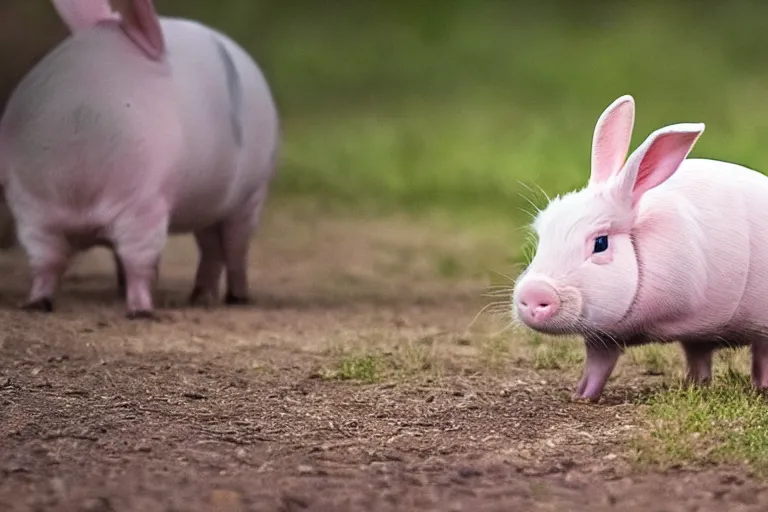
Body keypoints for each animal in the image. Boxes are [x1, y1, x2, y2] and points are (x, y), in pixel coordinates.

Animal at [0, 0, 280, 318]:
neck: (79, 198)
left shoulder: (145, 205)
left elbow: (138, 262)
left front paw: (141, 312)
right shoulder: (32, 214)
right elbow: (45, 264)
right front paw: (35, 304)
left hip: (253, 193)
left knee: (236, 246)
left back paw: (237, 298)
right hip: (209, 205)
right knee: (211, 247)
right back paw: (198, 298)